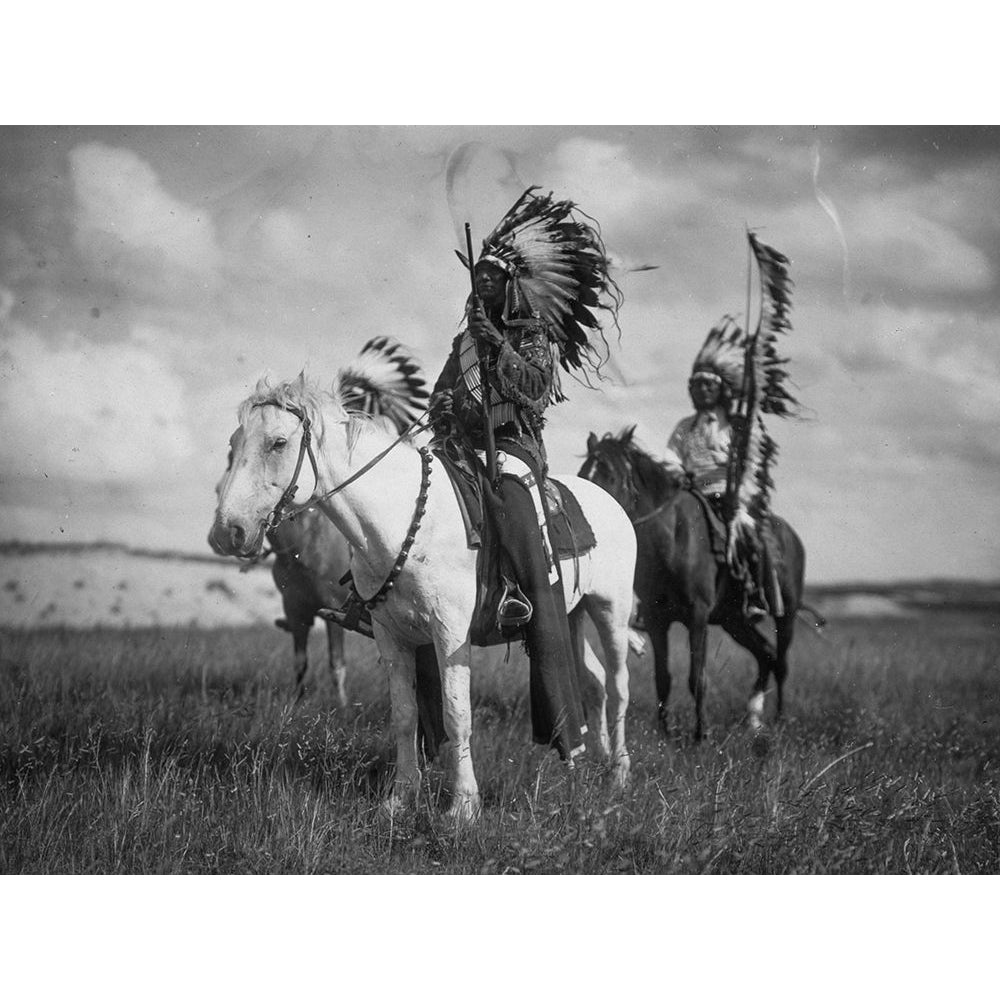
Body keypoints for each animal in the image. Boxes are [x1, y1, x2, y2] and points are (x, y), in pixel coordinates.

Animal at [210, 376, 632, 820]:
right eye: (234, 443)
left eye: (277, 443)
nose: (228, 532)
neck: (402, 521)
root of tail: (609, 501)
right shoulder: (392, 637)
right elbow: (404, 715)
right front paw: (401, 797)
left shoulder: (450, 635)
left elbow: (456, 715)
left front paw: (463, 806)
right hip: (573, 616)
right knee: (595, 682)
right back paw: (592, 758)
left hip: (611, 612)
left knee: (619, 684)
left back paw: (619, 772)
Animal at [580, 426, 820, 740]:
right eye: (583, 472)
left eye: (609, 473)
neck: (673, 539)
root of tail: (792, 537)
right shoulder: (657, 621)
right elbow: (663, 678)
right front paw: (665, 733)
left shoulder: (697, 617)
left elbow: (697, 678)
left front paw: (700, 735)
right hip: (735, 622)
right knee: (765, 654)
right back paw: (753, 720)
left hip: (786, 615)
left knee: (780, 662)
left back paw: (779, 718)